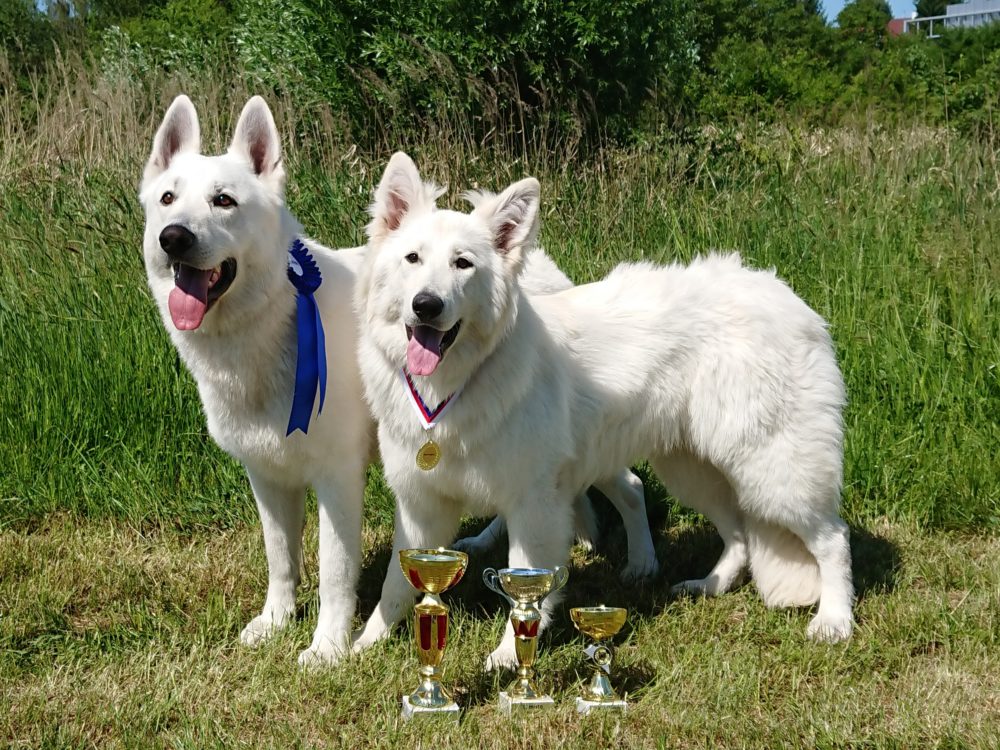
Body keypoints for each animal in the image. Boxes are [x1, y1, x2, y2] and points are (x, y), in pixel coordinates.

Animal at [141, 95, 376, 668]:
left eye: (223, 201)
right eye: (167, 199)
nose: (172, 237)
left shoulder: (338, 479)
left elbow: (335, 572)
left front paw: (327, 647)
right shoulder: (266, 477)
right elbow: (281, 559)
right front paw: (276, 623)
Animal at [352, 153, 852, 668]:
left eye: (462, 263)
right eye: (412, 259)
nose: (426, 306)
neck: (459, 381)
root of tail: (790, 301)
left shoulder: (533, 505)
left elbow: (524, 589)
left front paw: (509, 657)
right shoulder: (420, 504)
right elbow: (395, 583)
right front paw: (360, 644)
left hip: (774, 472)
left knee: (832, 538)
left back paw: (834, 621)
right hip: (691, 468)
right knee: (737, 533)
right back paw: (708, 584)